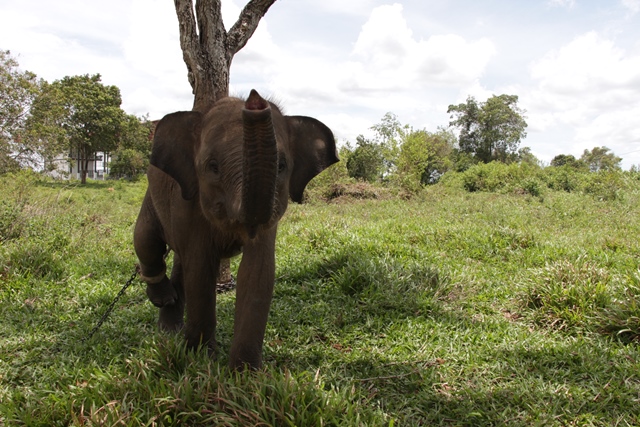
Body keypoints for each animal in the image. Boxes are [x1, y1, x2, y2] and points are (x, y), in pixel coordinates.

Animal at [132, 91, 338, 372]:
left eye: (281, 166)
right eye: (213, 167)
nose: (255, 100)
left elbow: (258, 270)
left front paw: (245, 374)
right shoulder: (189, 199)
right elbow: (201, 268)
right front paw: (201, 359)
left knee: (180, 261)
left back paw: (171, 326)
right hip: (152, 198)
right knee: (146, 240)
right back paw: (164, 303)